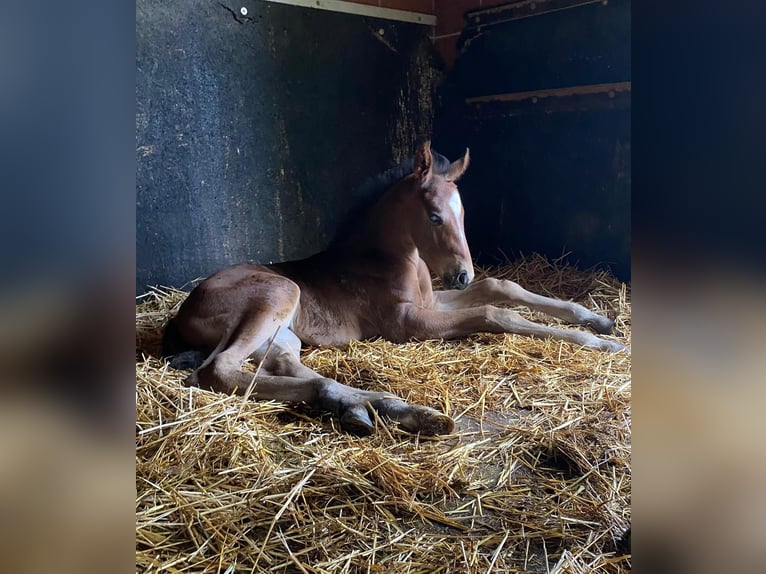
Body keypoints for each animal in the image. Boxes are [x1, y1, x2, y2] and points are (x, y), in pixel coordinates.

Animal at [165, 143, 628, 436]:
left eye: (463, 214)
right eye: (435, 216)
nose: (462, 274)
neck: (392, 259)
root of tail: (182, 312)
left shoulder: (432, 299)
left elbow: (503, 284)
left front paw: (599, 321)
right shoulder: (407, 322)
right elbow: (494, 313)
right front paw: (602, 343)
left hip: (283, 335)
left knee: (282, 368)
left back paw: (382, 408)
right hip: (277, 295)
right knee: (219, 369)